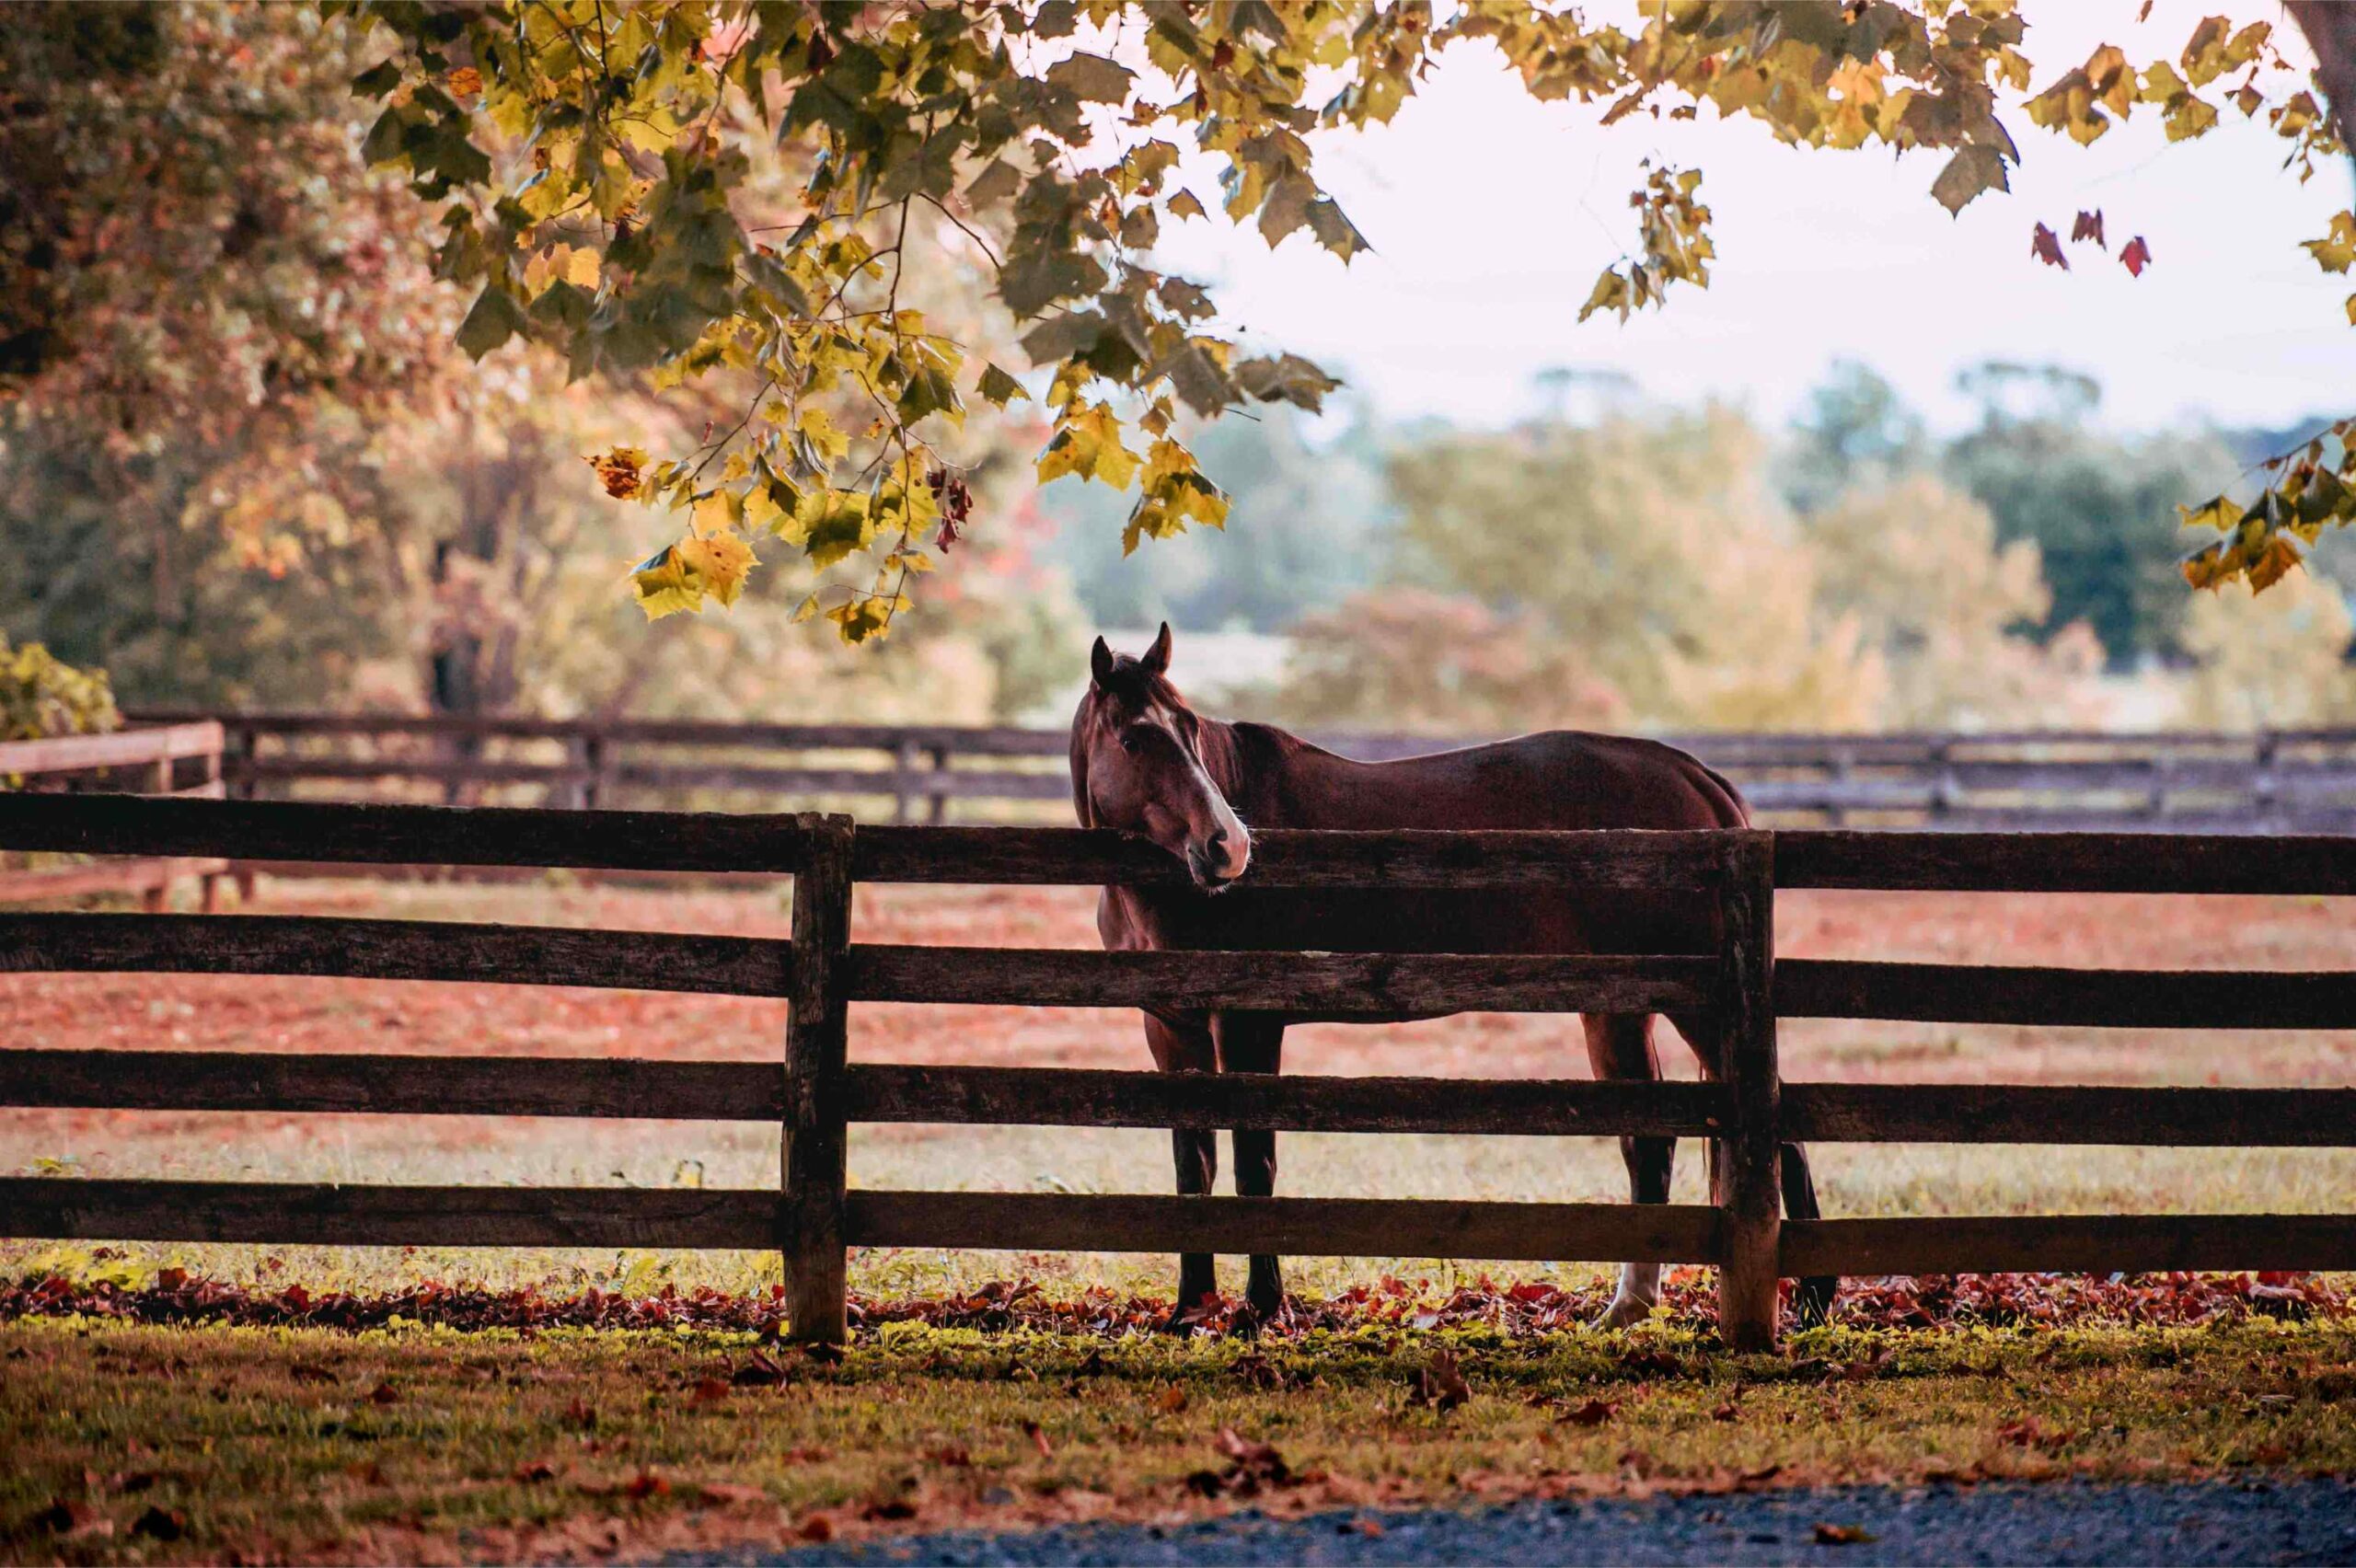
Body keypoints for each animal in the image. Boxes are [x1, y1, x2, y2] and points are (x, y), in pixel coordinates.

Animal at [1070, 623, 1834, 1333]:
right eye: (1135, 739)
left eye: (1190, 731)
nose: (1228, 846)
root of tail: (1699, 782)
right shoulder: (1172, 1030)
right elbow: (1191, 1167)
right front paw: (1189, 1312)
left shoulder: (1248, 1023)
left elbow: (1254, 1162)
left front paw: (1261, 1310)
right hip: (1620, 1009)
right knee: (1649, 1142)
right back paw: (1628, 1308)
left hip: (1698, 1008)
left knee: (1774, 1136)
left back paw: (1814, 1301)